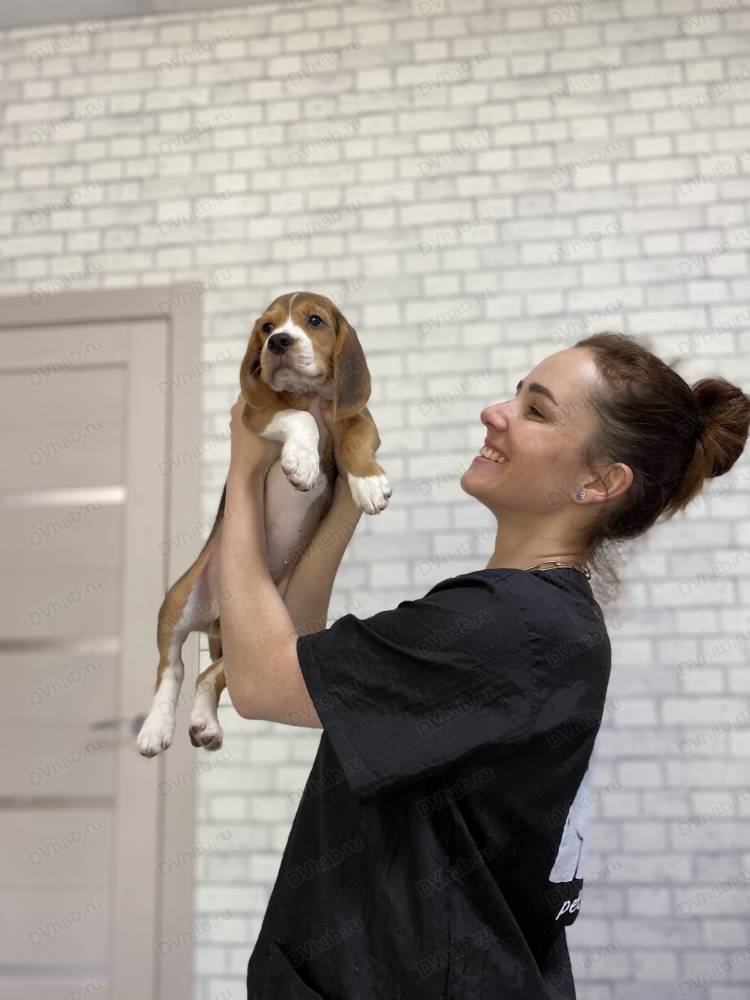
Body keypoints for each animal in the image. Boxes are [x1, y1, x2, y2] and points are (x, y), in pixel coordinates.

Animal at [136, 291, 391, 757]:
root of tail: (217, 615)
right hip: (178, 599)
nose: (279, 343)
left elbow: (354, 438)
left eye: (314, 320)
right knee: (172, 667)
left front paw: (367, 482)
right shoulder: (257, 416)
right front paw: (302, 462)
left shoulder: (361, 420)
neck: (306, 393)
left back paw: (205, 724)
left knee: (209, 675)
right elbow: (299, 419)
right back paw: (155, 728)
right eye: (267, 328)